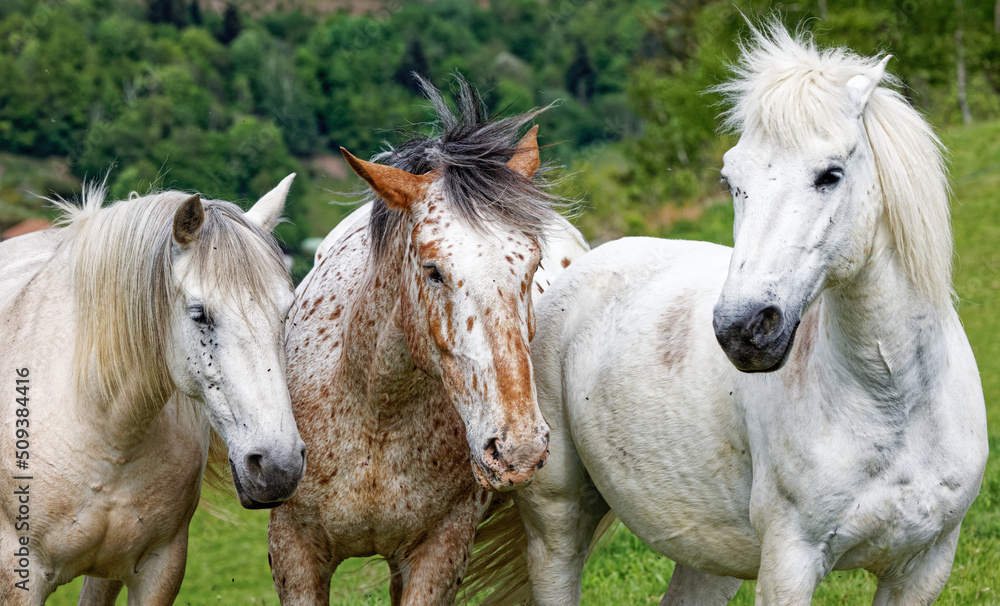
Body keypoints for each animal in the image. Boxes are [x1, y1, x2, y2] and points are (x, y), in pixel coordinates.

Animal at [267, 76, 589, 605]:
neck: (378, 414)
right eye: (433, 270)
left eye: (533, 265)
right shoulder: (294, 551)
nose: (518, 450)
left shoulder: (441, 552)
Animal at [470, 23, 989, 605]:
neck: (896, 402)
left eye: (831, 174)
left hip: (708, 553)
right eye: (730, 181)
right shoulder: (790, 562)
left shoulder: (922, 567)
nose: (742, 329)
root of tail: (578, 267)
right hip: (556, 525)